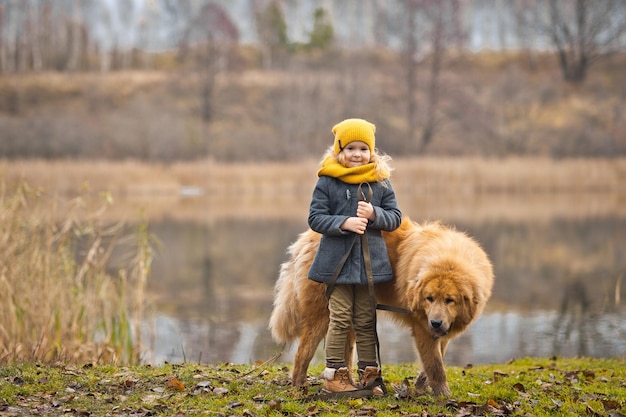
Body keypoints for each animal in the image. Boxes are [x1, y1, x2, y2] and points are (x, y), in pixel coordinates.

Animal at [268, 216, 492, 394]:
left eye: (449, 300)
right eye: (429, 298)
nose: (436, 322)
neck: (447, 258)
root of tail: (308, 238)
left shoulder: (440, 330)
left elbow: (436, 359)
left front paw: (422, 385)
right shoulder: (422, 328)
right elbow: (436, 366)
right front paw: (443, 395)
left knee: (345, 354)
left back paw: (351, 385)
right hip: (323, 315)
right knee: (302, 354)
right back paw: (300, 385)